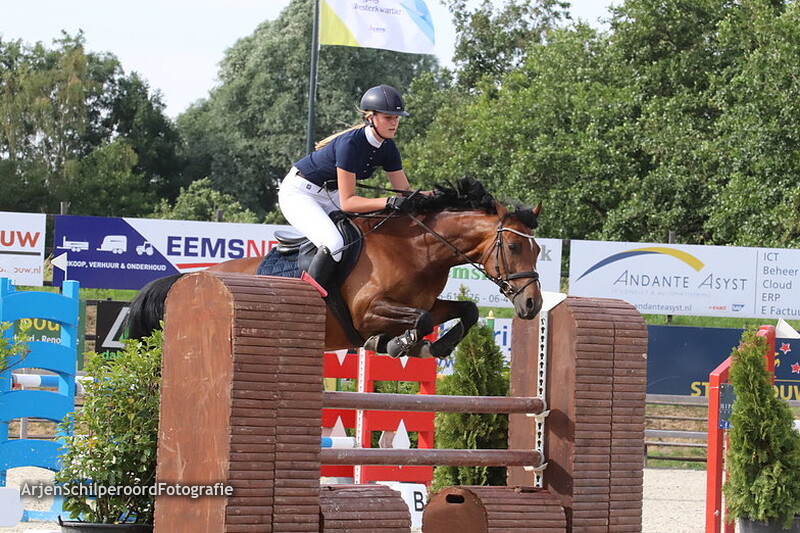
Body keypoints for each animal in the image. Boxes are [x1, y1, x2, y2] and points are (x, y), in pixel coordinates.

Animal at [127, 178, 543, 359]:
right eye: (513, 246)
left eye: (538, 249)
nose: (532, 305)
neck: (417, 249)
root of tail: (190, 278)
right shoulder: (367, 311)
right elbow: (421, 320)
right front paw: (397, 344)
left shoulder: (426, 301)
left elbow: (465, 310)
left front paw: (436, 345)